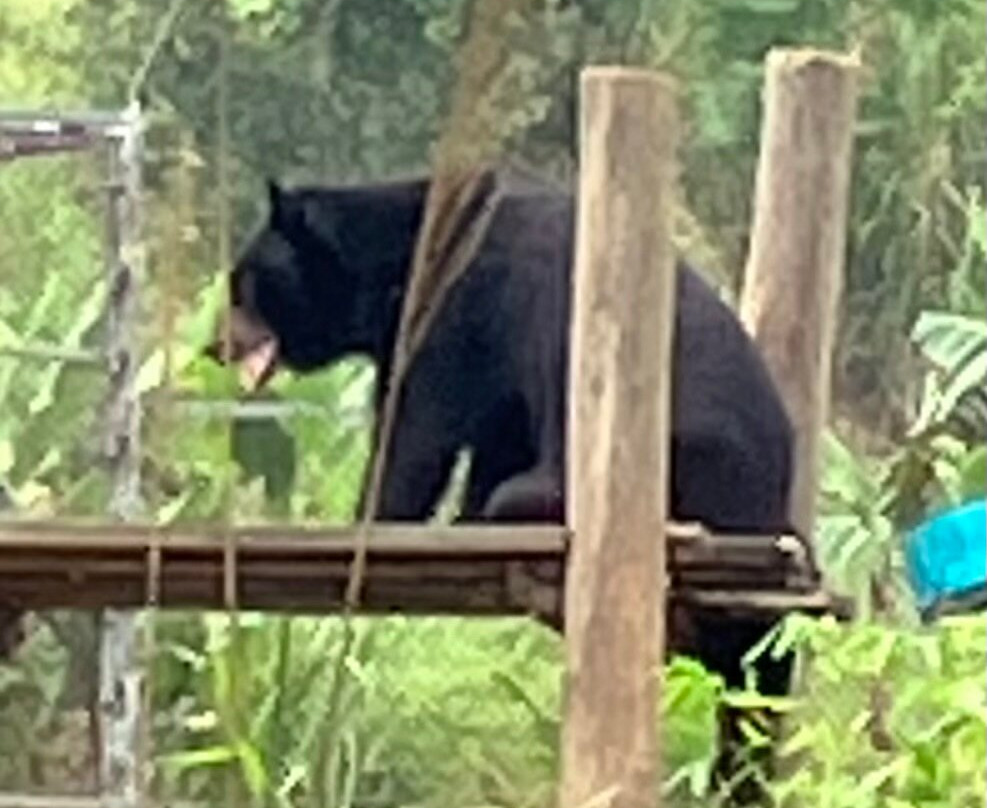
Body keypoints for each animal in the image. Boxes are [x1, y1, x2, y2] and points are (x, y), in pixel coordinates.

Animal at [207, 167, 804, 793]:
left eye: (242, 284)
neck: (397, 266)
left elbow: (420, 431)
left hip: (687, 460)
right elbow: (494, 432)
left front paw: (372, 517)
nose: (213, 345)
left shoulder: (460, 316)